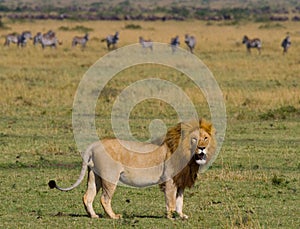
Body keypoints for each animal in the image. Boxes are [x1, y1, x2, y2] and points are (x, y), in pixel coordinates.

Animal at [49, 119, 217, 219]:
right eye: (194, 139)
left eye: (205, 138)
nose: (202, 148)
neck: (188, 157)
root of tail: (94, 144)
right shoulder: (170, 180)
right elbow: (170, 200)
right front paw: (170, 216)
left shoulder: (181, 180)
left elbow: (180, 200)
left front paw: (182, 216)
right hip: (110, 177)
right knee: (104, 198)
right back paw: (114, 216)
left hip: (94, 176)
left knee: (87, 196)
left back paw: (94, 216)